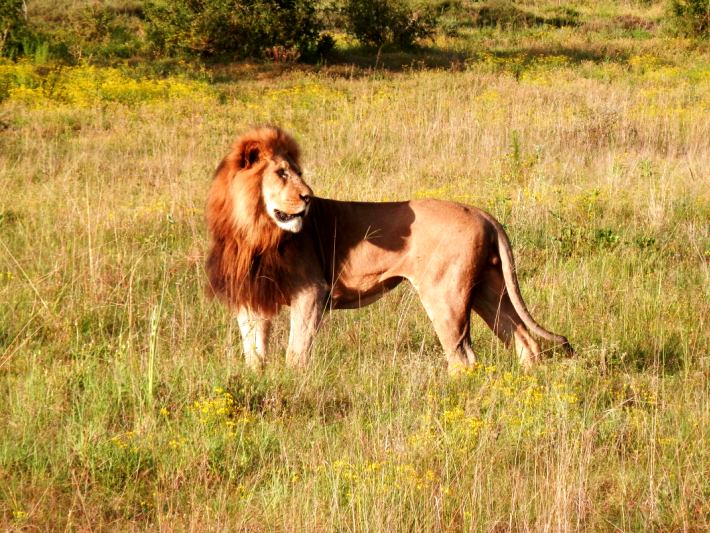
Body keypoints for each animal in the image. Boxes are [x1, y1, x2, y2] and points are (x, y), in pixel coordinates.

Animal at [206, 126, 572, 372]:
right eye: (282, 173)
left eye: (298, 173)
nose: (308, 197)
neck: (252, 229)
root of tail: (482, 213)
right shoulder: (251, 295)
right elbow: (253, 351)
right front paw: (259, 379)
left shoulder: (311, 291)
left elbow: (296, 352)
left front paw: (295, 383)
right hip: (487, 288)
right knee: (524, 340)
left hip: (446, 295)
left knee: (464, 357)